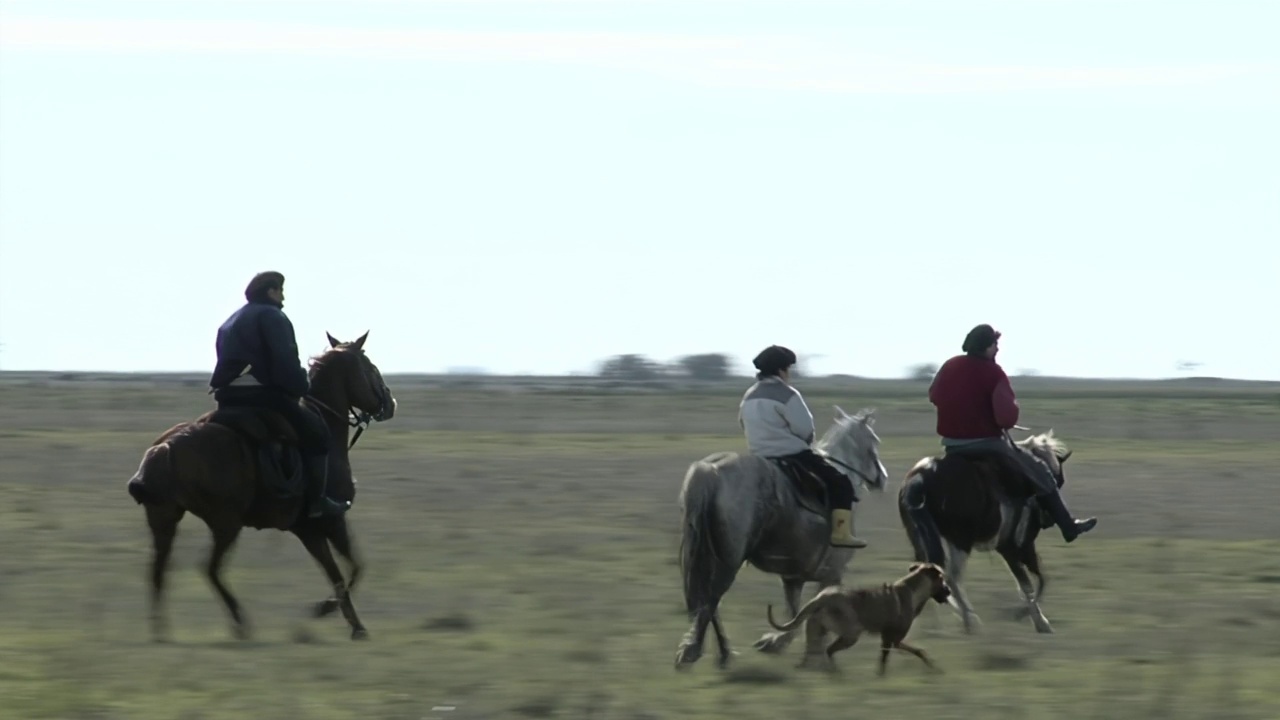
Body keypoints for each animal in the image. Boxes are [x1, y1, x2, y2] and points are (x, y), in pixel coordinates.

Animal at [126, 327, 394, 635]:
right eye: (370, 366)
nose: (390, 403)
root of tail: (164, 448)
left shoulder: (308, 530)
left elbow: (337, 571)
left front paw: (346, 621)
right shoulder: (331, 520)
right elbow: (355, 568)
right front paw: (328, 612)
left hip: (165, 517)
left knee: (158, 571)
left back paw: (162, 631)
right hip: (225, 523)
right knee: (209, 568)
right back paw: (240, 623)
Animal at [670, 404, 890, 666]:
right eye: (874, 440)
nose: (883, 478)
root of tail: (710, 470)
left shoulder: (793, 577)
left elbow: (795, 614)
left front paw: (775, 642)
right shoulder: (832, 573)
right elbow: (811, 617)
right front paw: (808, 655)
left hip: (708, 555)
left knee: (709, 602)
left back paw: (720, 651)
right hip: (727, 560)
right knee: (711, 599)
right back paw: (698, 650)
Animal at [757, 558, 952, 671]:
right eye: (942, 579)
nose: (949, 591)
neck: (914, 587)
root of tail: (821, 597)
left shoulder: (887, 639)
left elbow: (892, 659)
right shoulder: (894, 639)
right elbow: (915, 651)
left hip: (815, 632)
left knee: (810, 657)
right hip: (852, 633)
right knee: (829, 651)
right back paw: (836, 673)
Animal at [896, 427, 1075, 630]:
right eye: (1058, 479)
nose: (1048, 520)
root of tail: (920, 478)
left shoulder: (1010, 549)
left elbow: (1033, 580)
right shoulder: (1017, 546)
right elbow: (1035, 581)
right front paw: (1036, 620)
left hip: (925, 538)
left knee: (928, 571)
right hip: (961, 540)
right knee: (951, 576)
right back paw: (970, 621)